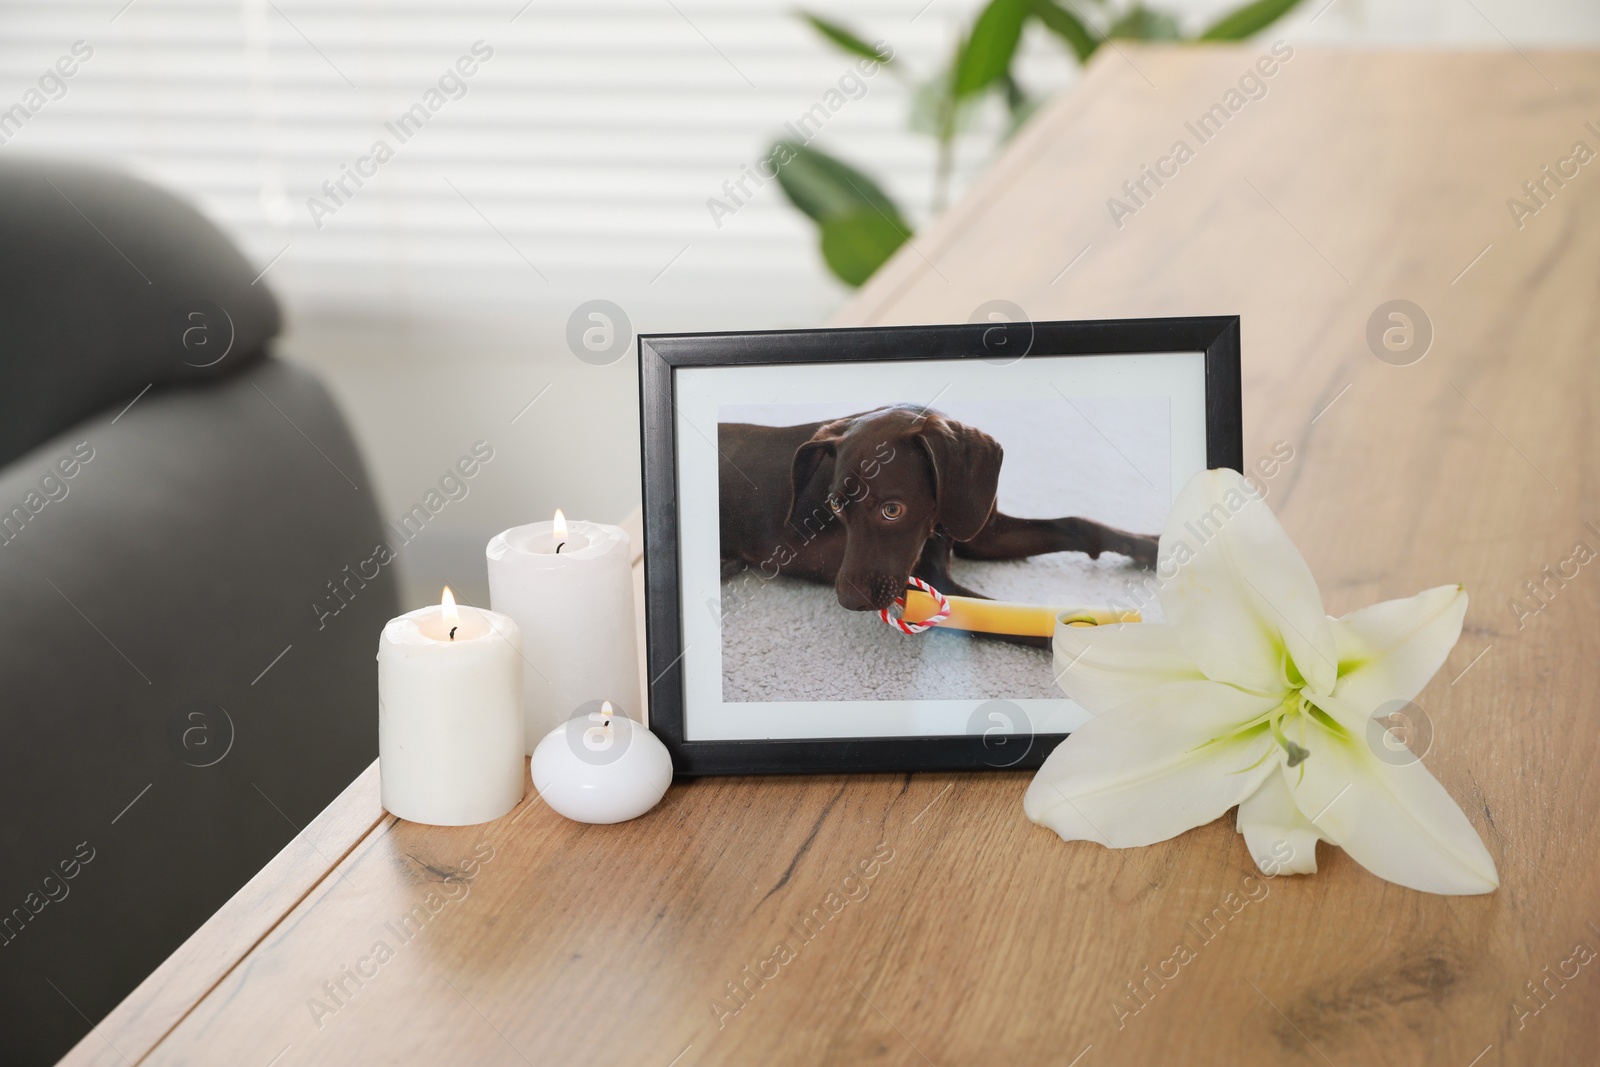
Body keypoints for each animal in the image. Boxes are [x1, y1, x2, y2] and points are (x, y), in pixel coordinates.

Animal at [720, 403, 1158, 633]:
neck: (935, 521)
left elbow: (1078, 524)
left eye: (892, 510)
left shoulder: (982, 533)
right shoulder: (937, 583)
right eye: (835, 507)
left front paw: (1151, 547)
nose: (847, 601)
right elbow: (1027, 622)